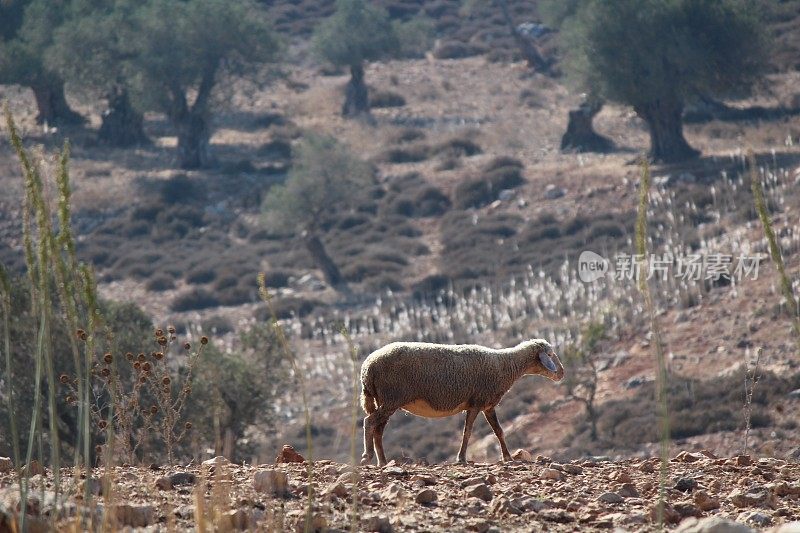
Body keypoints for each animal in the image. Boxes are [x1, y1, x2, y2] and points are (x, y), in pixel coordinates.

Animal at [360, 338, 564, 464]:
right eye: (550, 354)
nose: (562, 373)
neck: (505, 366)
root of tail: (367, 367)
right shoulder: (476, 402)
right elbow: (468, 432)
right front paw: (462, 458)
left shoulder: (487, 405)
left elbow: (499, 431)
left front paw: (507, 457)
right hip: (391, 398)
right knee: (369, 422)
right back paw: (367, 456)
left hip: (386, 400)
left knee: (378, 429)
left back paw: (383, 461)